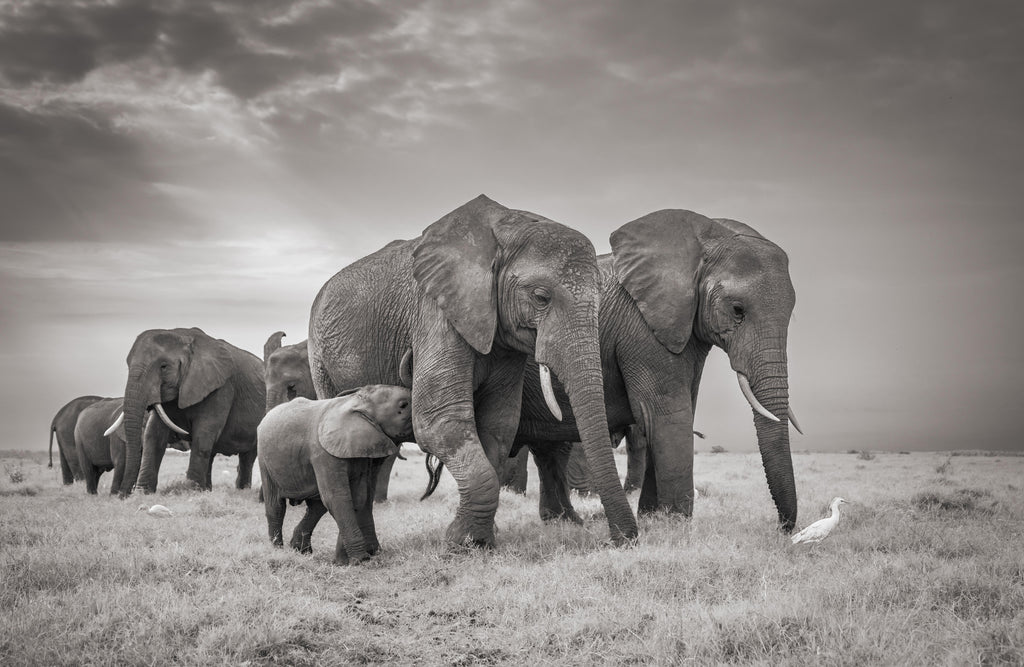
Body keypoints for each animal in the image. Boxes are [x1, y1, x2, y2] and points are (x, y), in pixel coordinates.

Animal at [111, 327, 266, 497]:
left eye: (164, 366)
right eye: (128, 365)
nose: (123, 495)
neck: (183, 337)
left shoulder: (221, 387)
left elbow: (204, 433)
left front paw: (190, 491)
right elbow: (153, 434)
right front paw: (143, 493)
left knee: (248, 456)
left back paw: (240, 491)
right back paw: (207, 490)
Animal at [257, 385, 413, 565]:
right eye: (403, 405)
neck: (358, 402)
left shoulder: (358, 453)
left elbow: (357, 498)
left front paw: (342, 562)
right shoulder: (323, 453)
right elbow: (338, 498)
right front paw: (360, 560)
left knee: (317, 506)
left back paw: (301, 550)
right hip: (265, 460)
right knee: (276, 505)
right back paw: (278, 549)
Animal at [308, 194, 637, 547]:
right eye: (540, 297)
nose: (620, 540)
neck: (507, 228)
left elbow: (497, 424)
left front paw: (475, 540)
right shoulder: (435, 312)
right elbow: (440, 421)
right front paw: (462, 543)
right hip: (321, 361)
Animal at [511, 210, 800, 531]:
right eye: (738, 309)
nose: (782, 528)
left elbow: (667, 415)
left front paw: (653, 517)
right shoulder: (641, 328)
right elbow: (666, 415)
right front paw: (676, 524)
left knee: (549, 452)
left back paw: (566, 522)